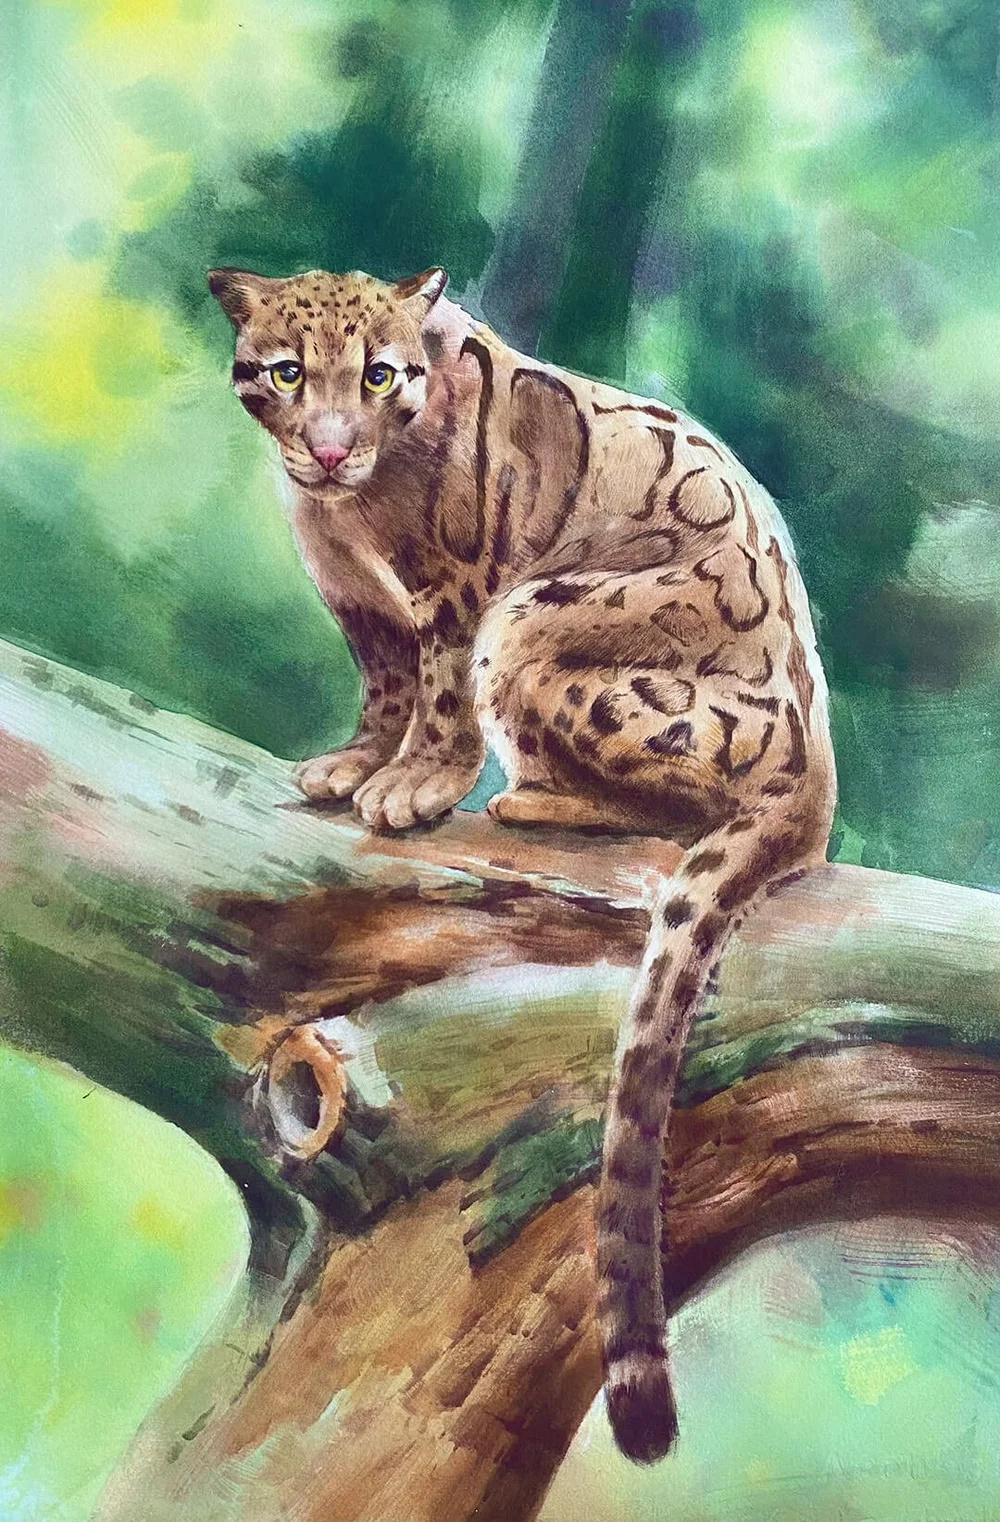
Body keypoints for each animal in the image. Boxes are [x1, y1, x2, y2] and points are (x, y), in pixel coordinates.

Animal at [209, 261, 836, 1464]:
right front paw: (353, 762)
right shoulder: (356, 601)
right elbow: (384, 684)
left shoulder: (455, 591)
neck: (338, 515)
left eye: (381, 374)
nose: (328, 449)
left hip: (541, 622)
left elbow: (438, 691)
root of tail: (820, 768)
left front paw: (411, 784)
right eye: (287, 372)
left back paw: (533, 794)